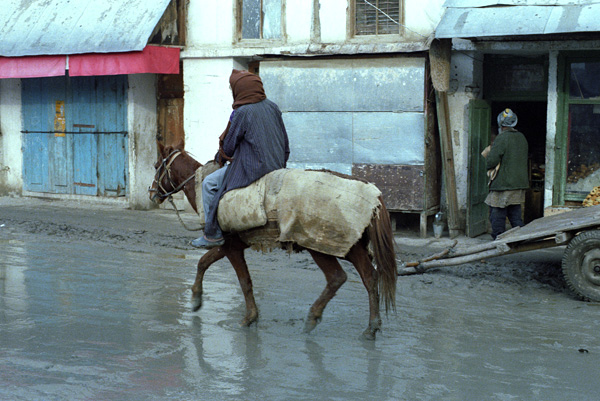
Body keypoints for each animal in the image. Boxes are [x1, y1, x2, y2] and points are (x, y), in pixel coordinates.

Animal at [148, 142, 396, 340]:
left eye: (156, 165)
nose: (151, 194)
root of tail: (374, 196)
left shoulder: (230, 246)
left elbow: (243, 281)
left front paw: (248, 318)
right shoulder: (229, 245)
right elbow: (204, 263)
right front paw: (197, 299)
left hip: (323, 245)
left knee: (338, 277)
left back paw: (314, 318)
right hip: (350, 246)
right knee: (369, 277)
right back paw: (371, 327)